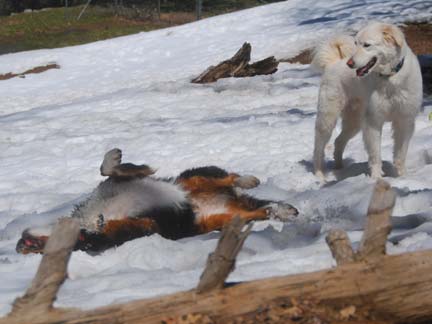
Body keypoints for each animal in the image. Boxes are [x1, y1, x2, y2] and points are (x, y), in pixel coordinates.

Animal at [16, 149, 298, 253]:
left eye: (29, 244)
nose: (21, 244)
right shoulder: (142, 226)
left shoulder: (119, 182)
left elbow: (111, 169)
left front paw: (114, 157)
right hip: (224, 218)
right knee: (258, 211)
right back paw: (281, 210)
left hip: (193, 177)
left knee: (228, 176)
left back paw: (250, 181)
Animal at [312, 22, 424, 180]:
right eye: (355, 44)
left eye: (367, 45)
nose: (350, 63)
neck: (389, 79)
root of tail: (333, 63)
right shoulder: (373, 122)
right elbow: (375, 155)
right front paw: (376, 179)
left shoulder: (405, 121)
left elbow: (400, 155)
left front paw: (403, 178)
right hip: (327, 119)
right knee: (318, 147)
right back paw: (319, 175)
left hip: (354, 123)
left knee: (338, 141)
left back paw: (339, 168)